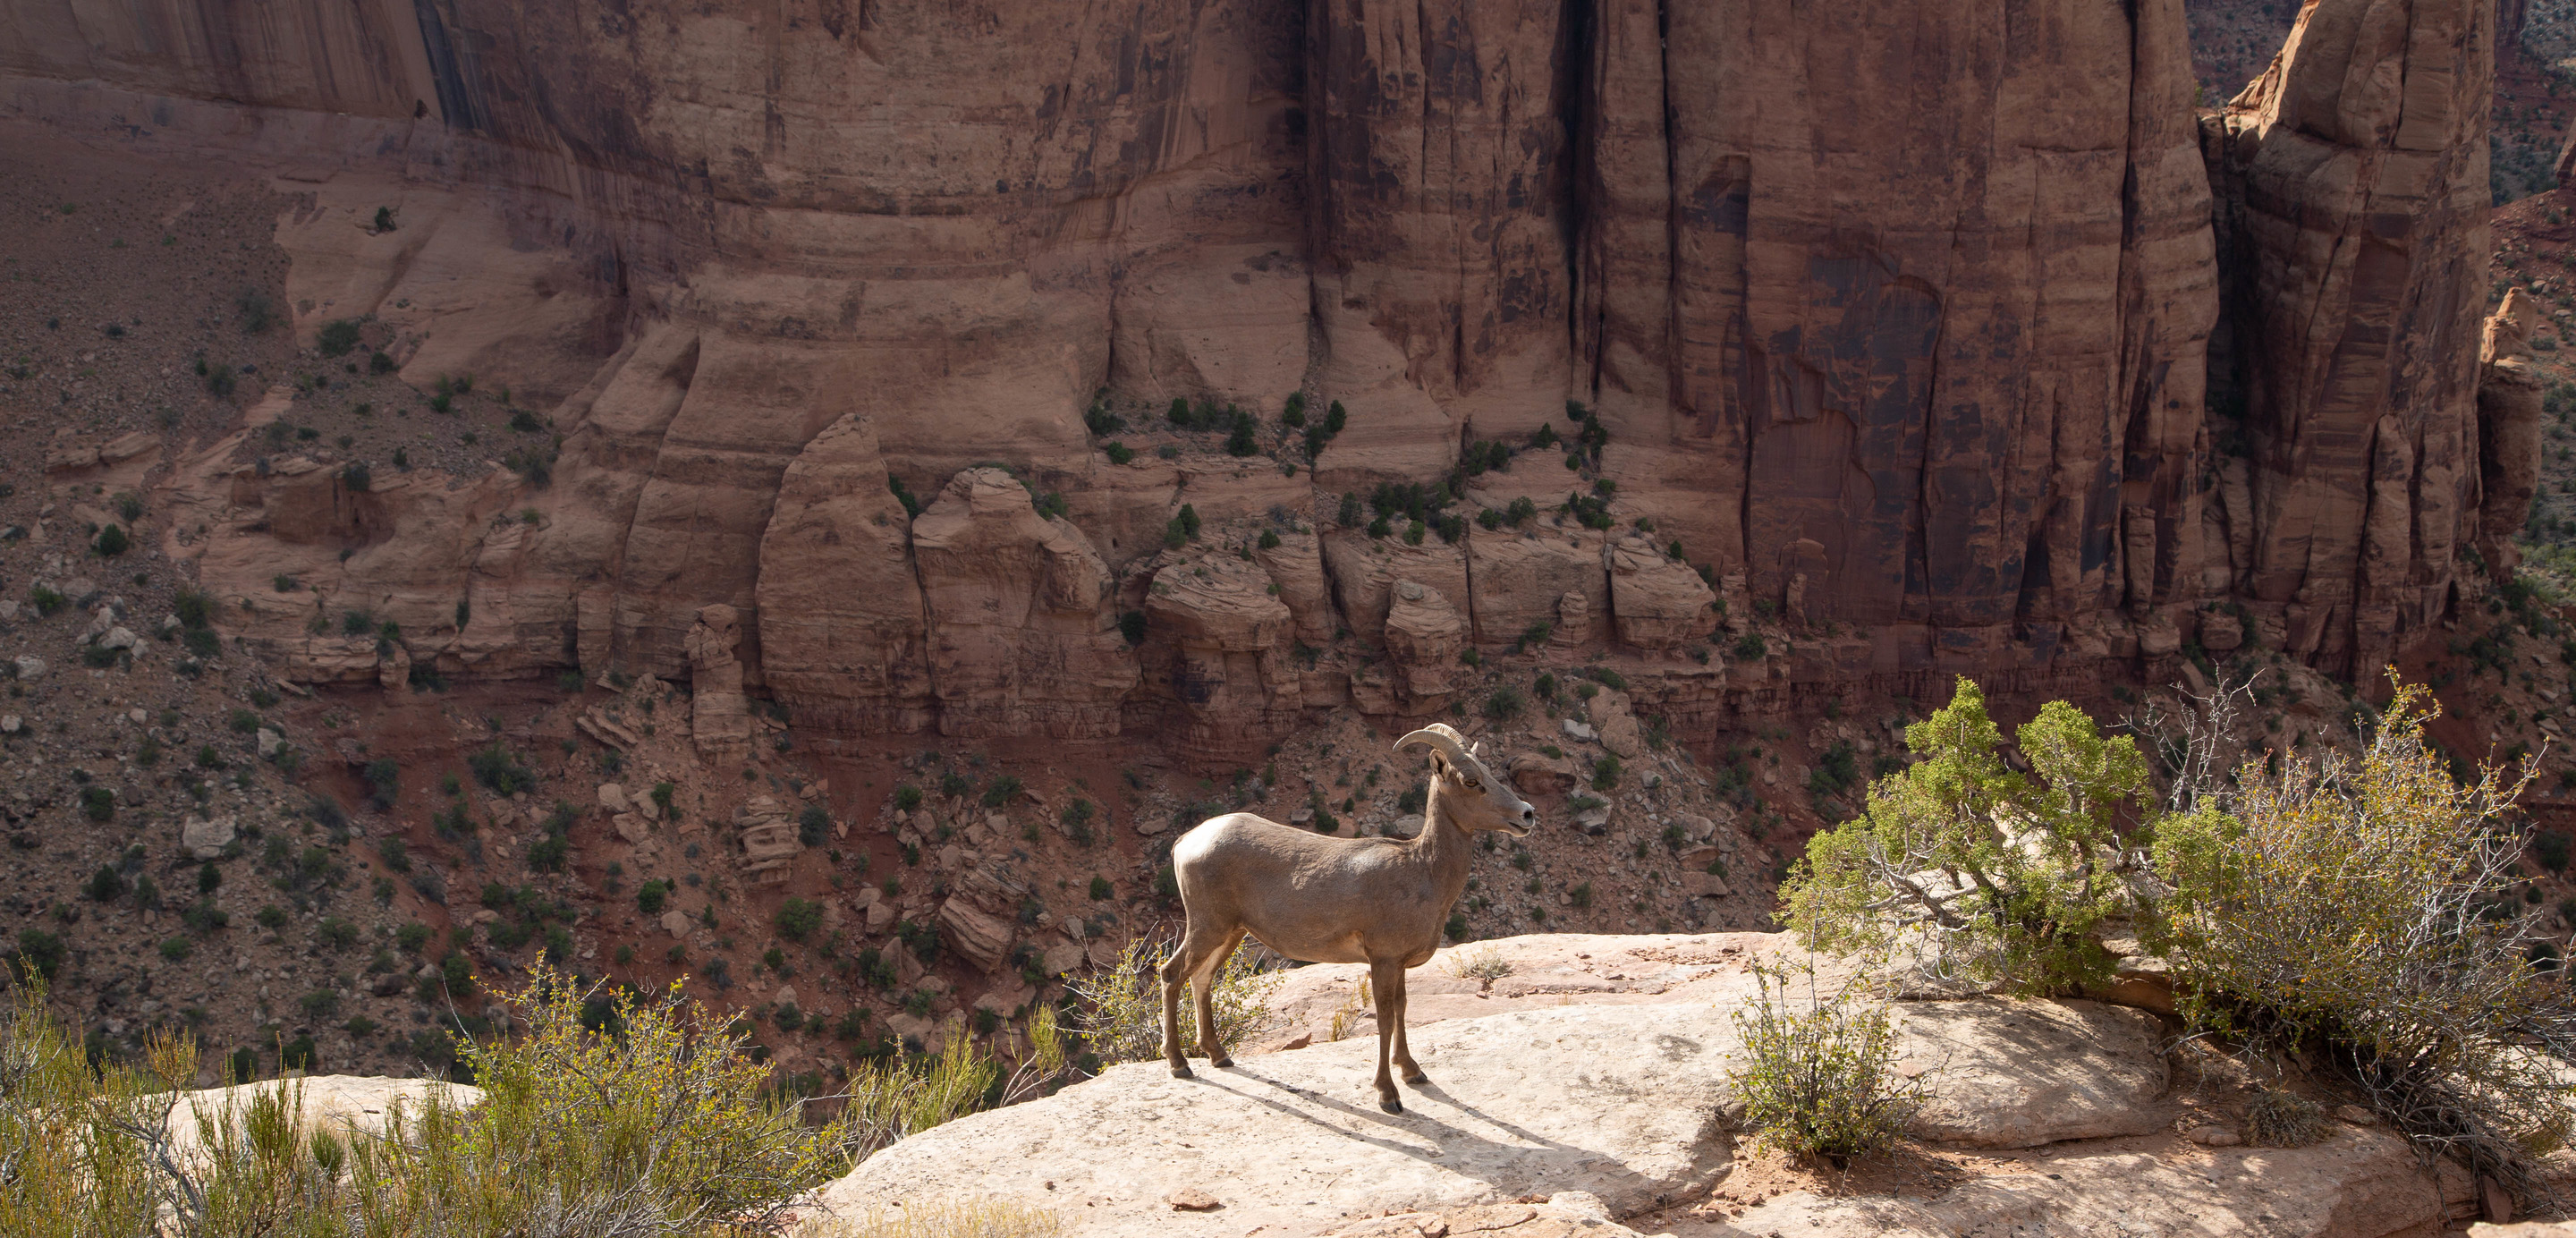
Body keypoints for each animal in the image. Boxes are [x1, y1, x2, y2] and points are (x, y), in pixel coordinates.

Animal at [1159, 723, 1536, 1113]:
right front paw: (1388, 1095)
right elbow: (1385, 1019)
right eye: (1471, 780)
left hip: (1230, 931)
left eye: (1490, 772)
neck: (1422, 872)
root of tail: (1186, 842)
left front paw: (1413, 1072)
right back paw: (1179, 1064)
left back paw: (1219, 1055)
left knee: (1201, 978)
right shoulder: (1383, 959)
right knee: (1172, 973)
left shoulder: (1398, 963)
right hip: (1207, 925)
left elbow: (1402, 1009)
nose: (1527, 814)